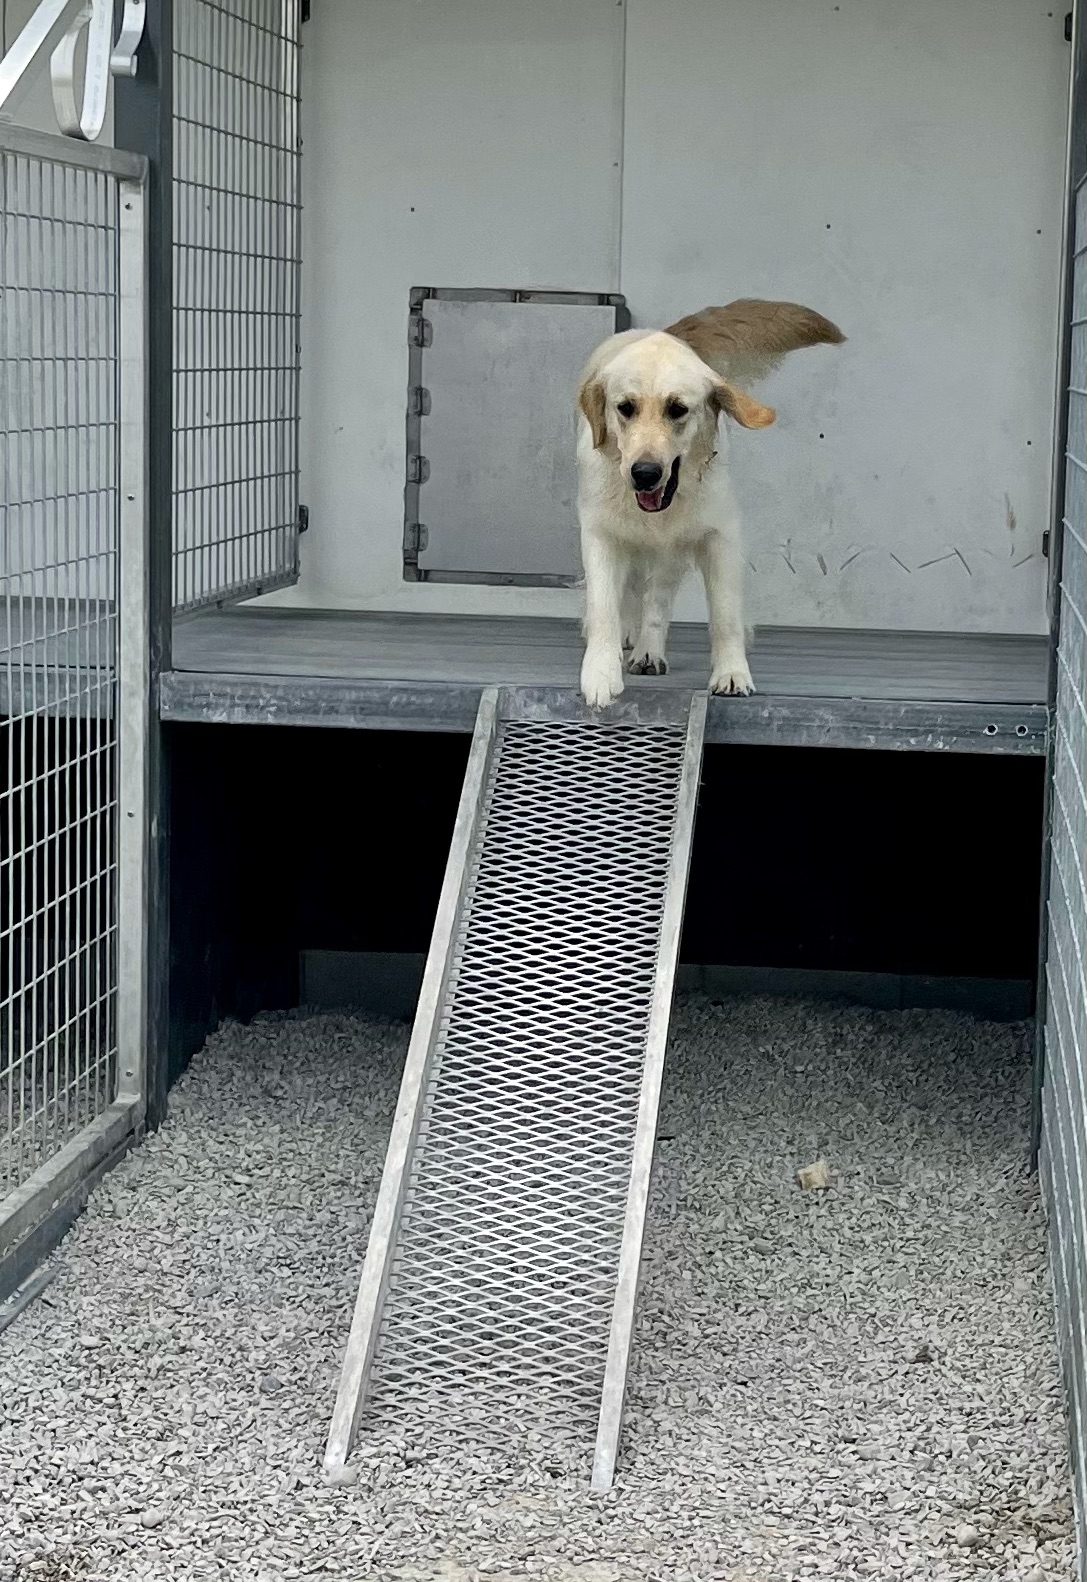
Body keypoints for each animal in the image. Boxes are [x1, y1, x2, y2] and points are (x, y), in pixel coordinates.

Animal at [572, 298, 848, 708]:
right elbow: (605, 604)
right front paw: (600, 675)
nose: (645, 473)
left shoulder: (719, 537)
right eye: (625, 407)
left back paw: (649, 652)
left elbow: (724, 615)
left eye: (677, 409)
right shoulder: (601, 533)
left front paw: (732, 673)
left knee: (658, 600)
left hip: (672, 552)